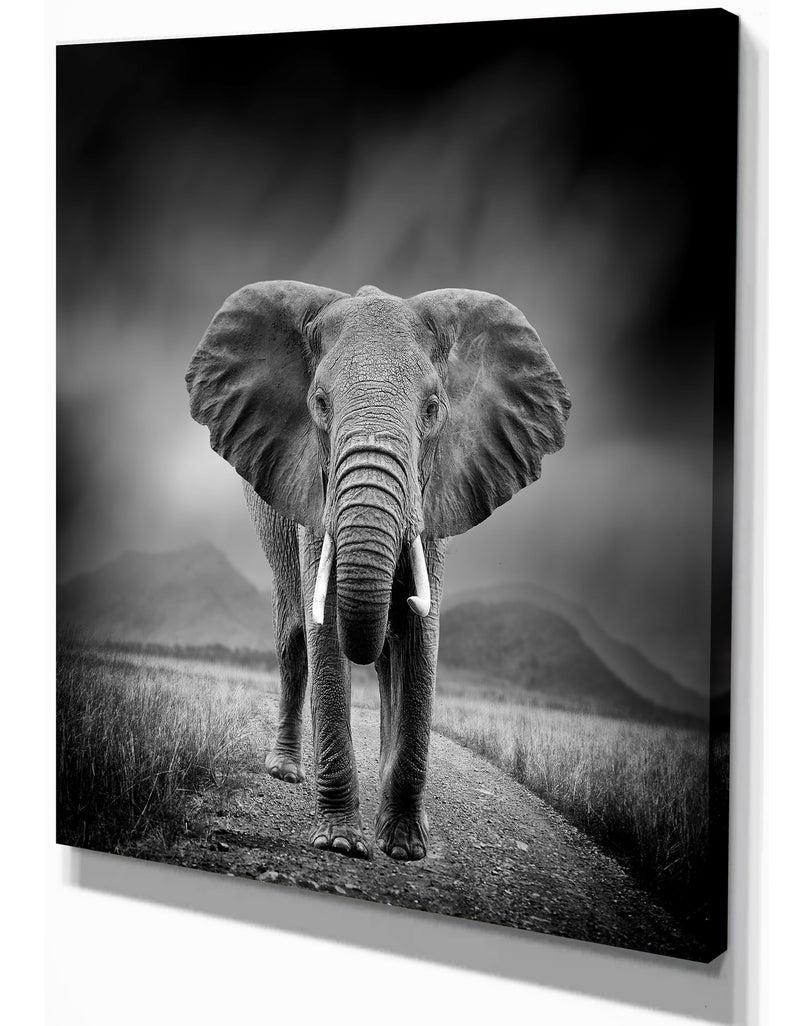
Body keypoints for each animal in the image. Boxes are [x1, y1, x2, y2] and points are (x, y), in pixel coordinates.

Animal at [186, 282, 570, 861]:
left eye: (432, 409)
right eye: (319, 405)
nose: (408, 839)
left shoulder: (436, 492)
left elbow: (419, 635)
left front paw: (407, 846)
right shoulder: (312, 490)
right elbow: (325, 632)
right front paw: (342, 843)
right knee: (293, 638)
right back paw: (285, 772)